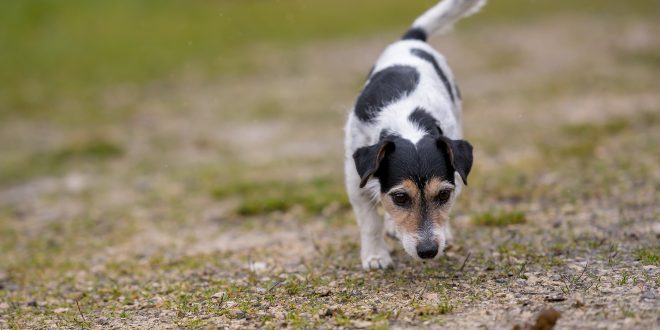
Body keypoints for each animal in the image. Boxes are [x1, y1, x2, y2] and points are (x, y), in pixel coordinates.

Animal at [342, 0, 482, 268]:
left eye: (443, 194)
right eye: (400, 198)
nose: (428, 251)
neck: (407, 119)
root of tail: (411, 39)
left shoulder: (455, 180)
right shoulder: (356, 182)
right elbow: (370, 223)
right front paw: (375, 255)